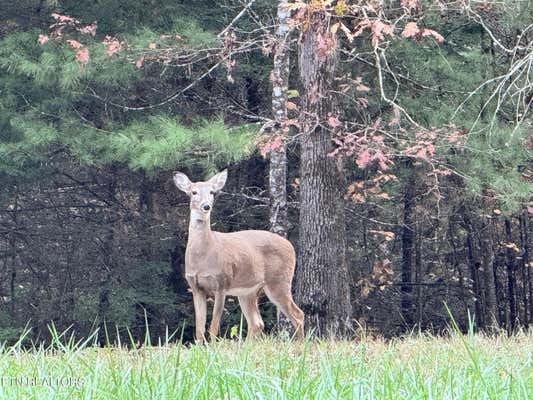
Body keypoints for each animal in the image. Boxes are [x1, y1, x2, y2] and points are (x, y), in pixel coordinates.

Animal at [172, 170, 302, 342]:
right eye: (194, 192)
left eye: (212, 192)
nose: (206, 206)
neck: (202, 256)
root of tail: (291, 246)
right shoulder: (195, 286)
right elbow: (199, 329)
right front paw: (200, 346)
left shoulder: (222, 283)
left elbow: (213, 327)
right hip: (249, 291)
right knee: (257, 323)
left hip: (279, 281)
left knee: (298, 315)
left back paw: (301, 344)